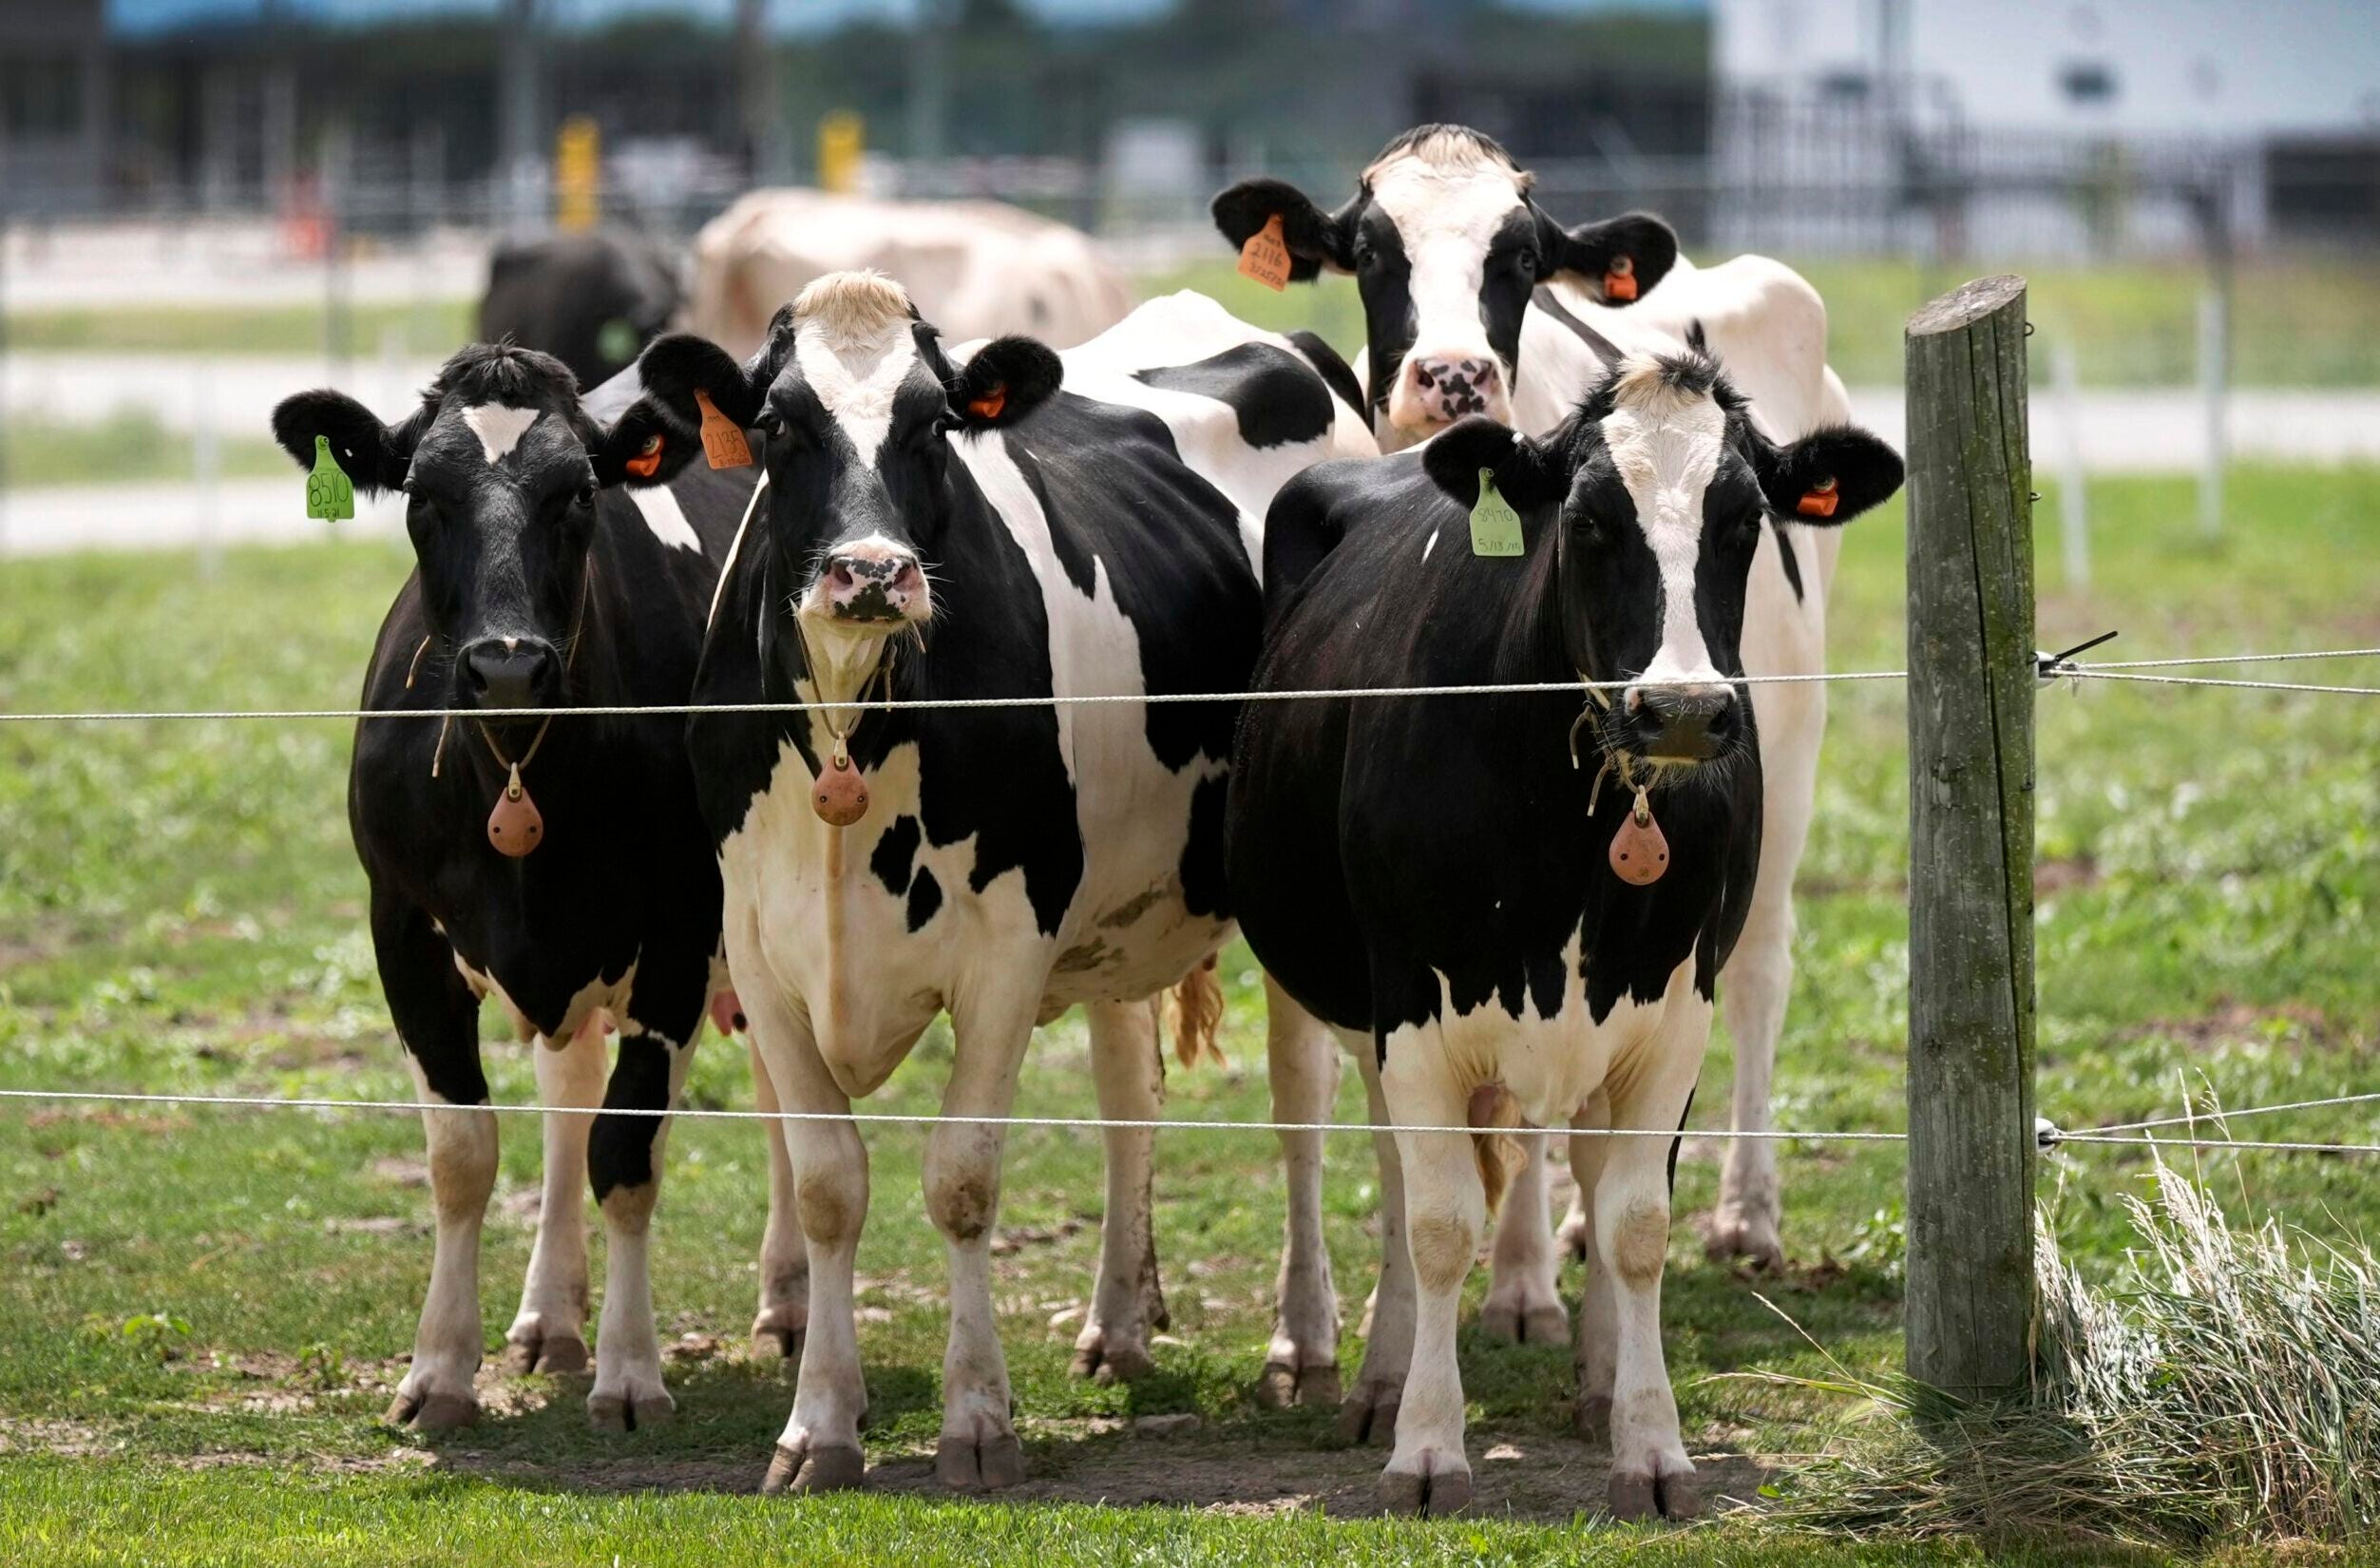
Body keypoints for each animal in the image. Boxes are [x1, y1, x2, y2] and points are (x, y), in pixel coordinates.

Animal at [270, 342, 751, 1433]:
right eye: (422, 493)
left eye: (577, 493)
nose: (505, 665)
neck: (521, 769)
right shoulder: (401, 927)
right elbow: (464, 1155)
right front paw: (440, 1370)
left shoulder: (680, 932)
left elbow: (628, 1154)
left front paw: (630, 1372)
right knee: (567, 1100)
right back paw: (551, 1319)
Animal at [618, 269, 1370, 1494]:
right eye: (777, 424)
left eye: (934, 423)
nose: (871, 572)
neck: (851, 725)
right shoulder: (764, 953)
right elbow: (828, 1185)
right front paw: (819, 1426)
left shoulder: (1009, 948)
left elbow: (962, 1181)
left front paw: (976, 1421)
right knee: (1128, 1094)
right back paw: (1118, 1325)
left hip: (1281, 884)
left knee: (1300, 1099)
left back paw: (1301, 1345)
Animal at [1214, 127, 1857, 1404]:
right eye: (1371, 250)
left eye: (1518, 258)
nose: (1453, 377)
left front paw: (1529, 1296)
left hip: (1797, 750)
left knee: (1759, 974)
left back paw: (1741, 1213)